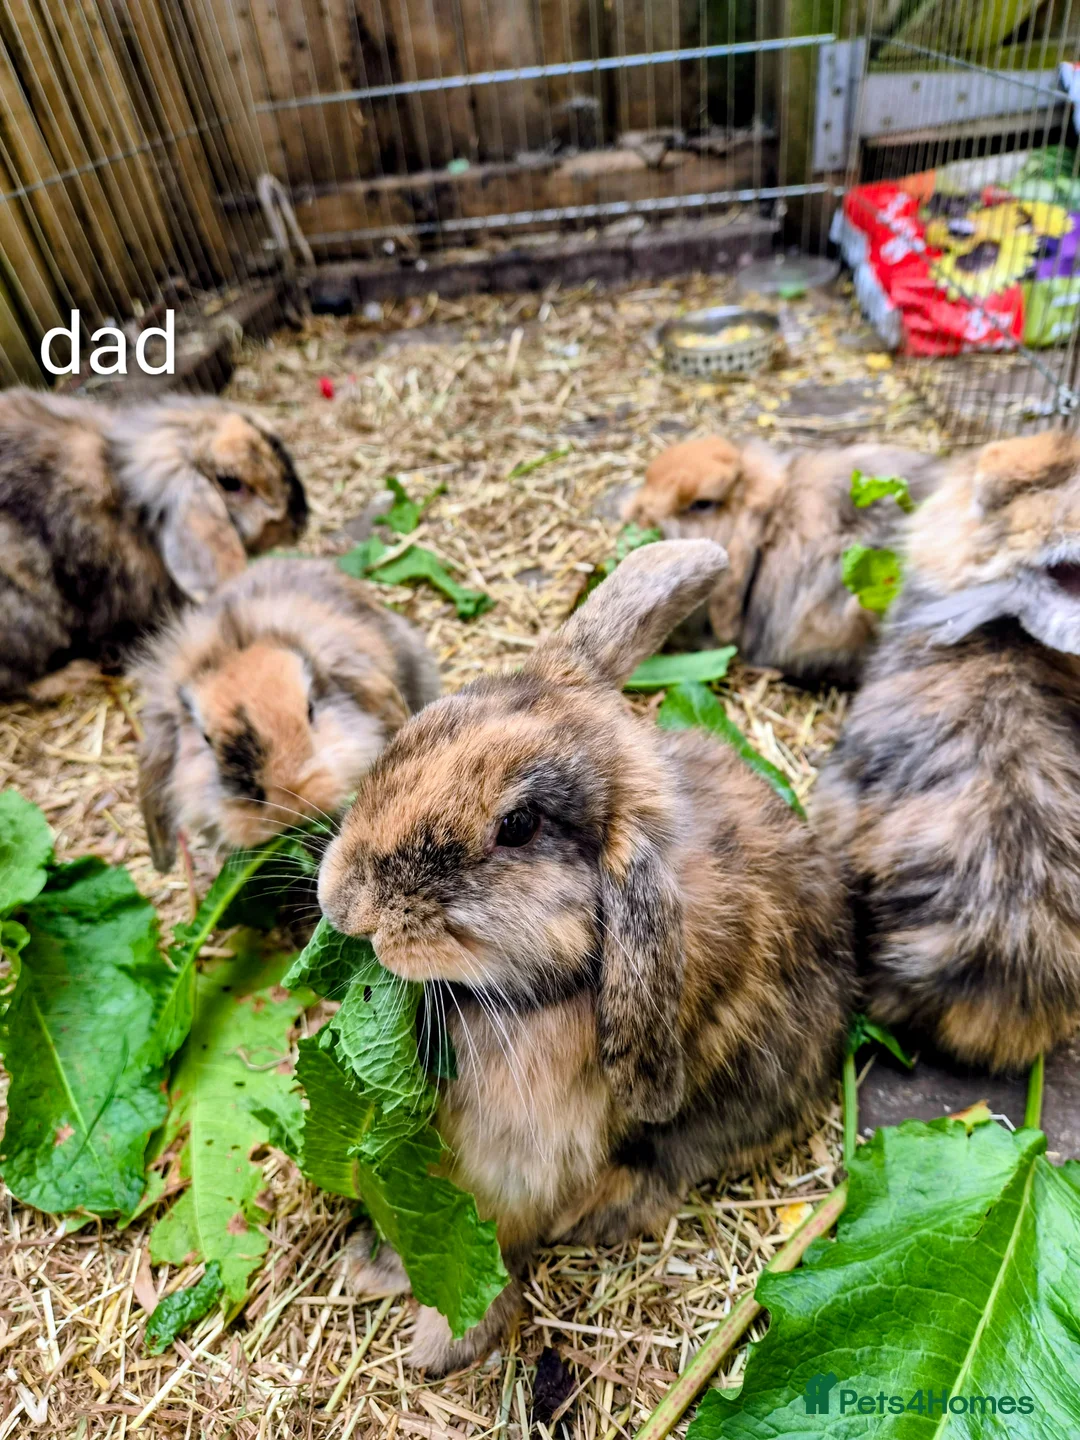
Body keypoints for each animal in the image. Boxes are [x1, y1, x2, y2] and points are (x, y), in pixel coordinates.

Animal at [317, 538, 854, 1374]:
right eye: (427, 726)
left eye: (519, 826)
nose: (347, 906)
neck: (530, 994)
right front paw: (376, 1266)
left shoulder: (522, 1167)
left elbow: (494, 1244)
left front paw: (441, 1341)